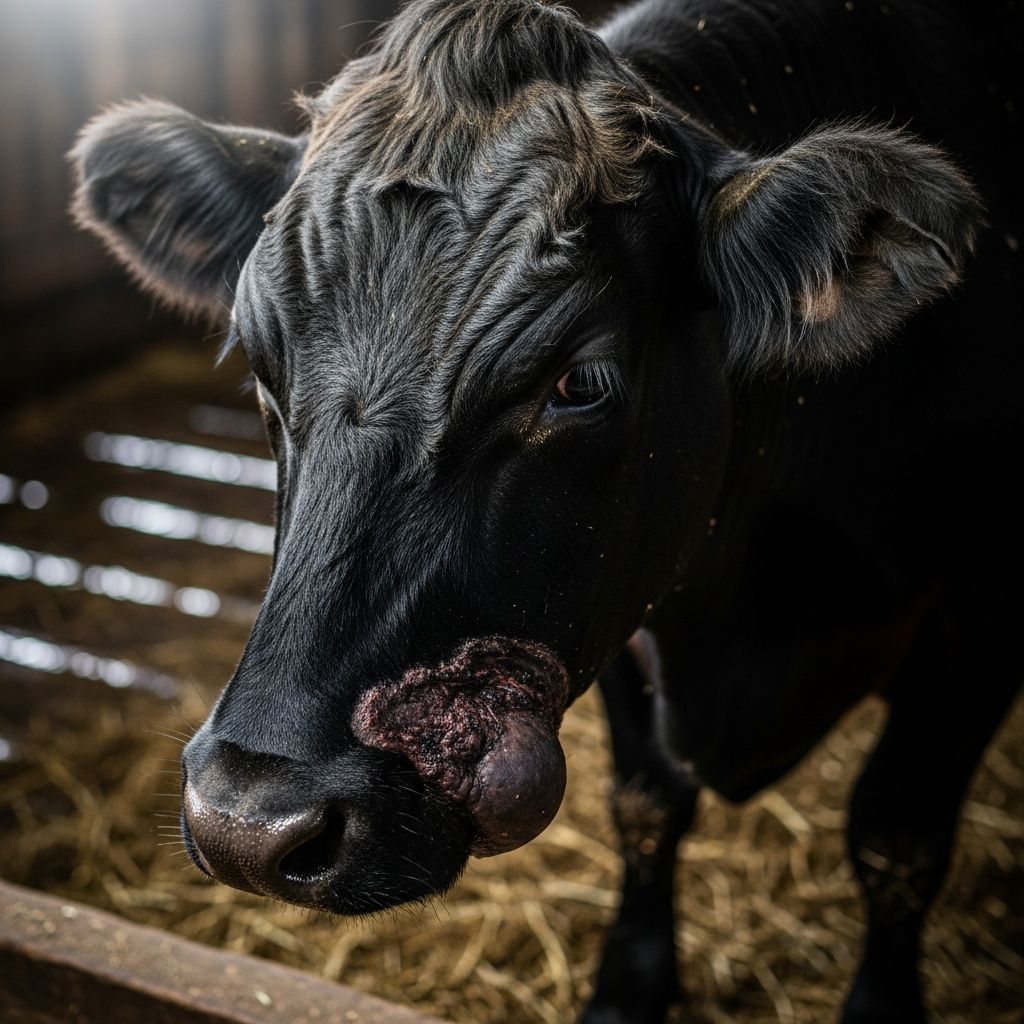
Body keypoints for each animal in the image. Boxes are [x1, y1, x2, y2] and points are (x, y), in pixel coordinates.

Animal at [70, 0, 1022, 1020]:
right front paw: (629, 985)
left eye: (580, 384)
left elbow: (895, 842)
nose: (247, 823)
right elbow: (646, 807)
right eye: (257, 360)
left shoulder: (982, 621)